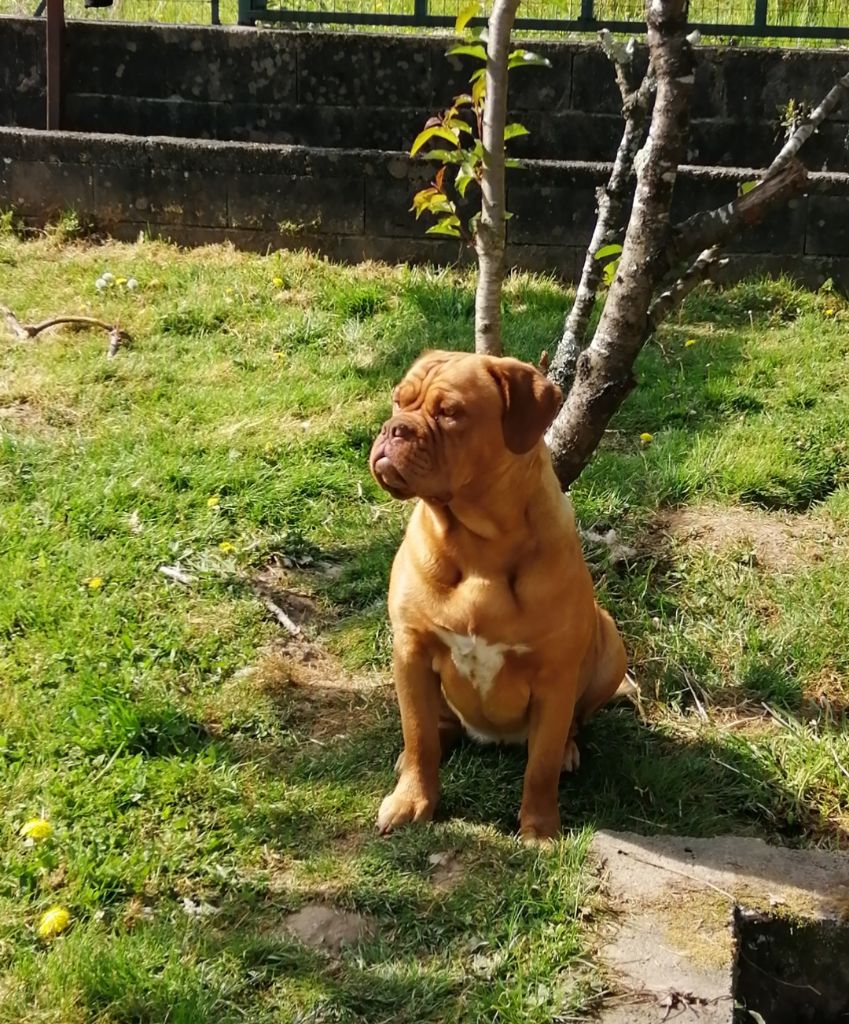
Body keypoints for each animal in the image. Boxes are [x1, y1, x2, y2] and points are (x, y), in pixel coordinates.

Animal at [368, 350, 626, 839]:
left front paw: (539, 830)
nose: (395, 429)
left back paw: (569, 749)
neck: (478, 545)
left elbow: (540, 767)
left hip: (611, 646)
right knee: (434, 727)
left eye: (450, 412)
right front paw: (413, 800)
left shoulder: (554, 677)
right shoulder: (410, 650)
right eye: (398, 401)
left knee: (569, 727)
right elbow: (419, 735)